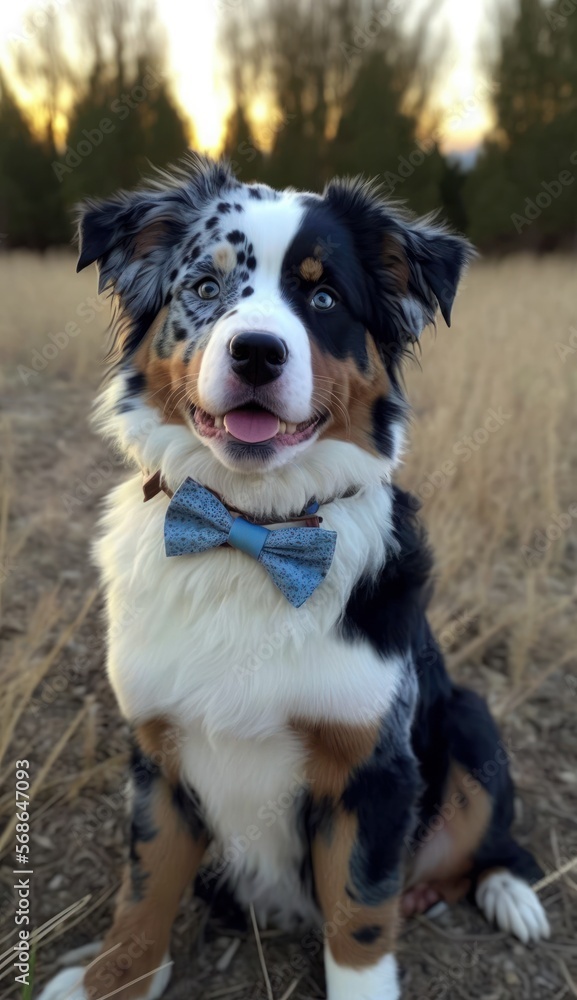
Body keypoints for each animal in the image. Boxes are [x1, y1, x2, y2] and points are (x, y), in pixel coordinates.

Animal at [38, 156, 548, 1000]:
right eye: (203, 285)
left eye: (323, 297)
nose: (256, 352)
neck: (251, 532)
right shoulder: (157, 755)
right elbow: (143, 890)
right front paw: (108, 979)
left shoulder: (374, 769)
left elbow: (361, 920)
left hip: (470, 719)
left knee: (490, 844)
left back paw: (512, 894)